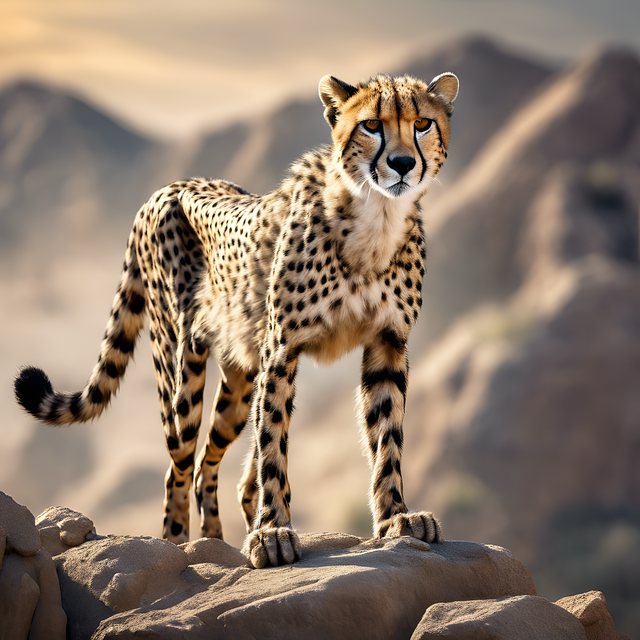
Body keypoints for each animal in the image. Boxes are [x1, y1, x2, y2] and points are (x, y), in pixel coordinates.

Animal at [15, 71, 459, 568]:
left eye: (422, 123)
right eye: (372, 125)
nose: (402, 164)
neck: (375, 218)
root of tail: (169, 186)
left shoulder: (387, 343)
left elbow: (387, 438)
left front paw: (396, 518)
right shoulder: (281, 351)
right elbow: (273, 445)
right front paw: (273, 532)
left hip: (240, 385)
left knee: (211, 464)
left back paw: (216, 539)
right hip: (181, 373)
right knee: (179, 466)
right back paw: (181, 546)